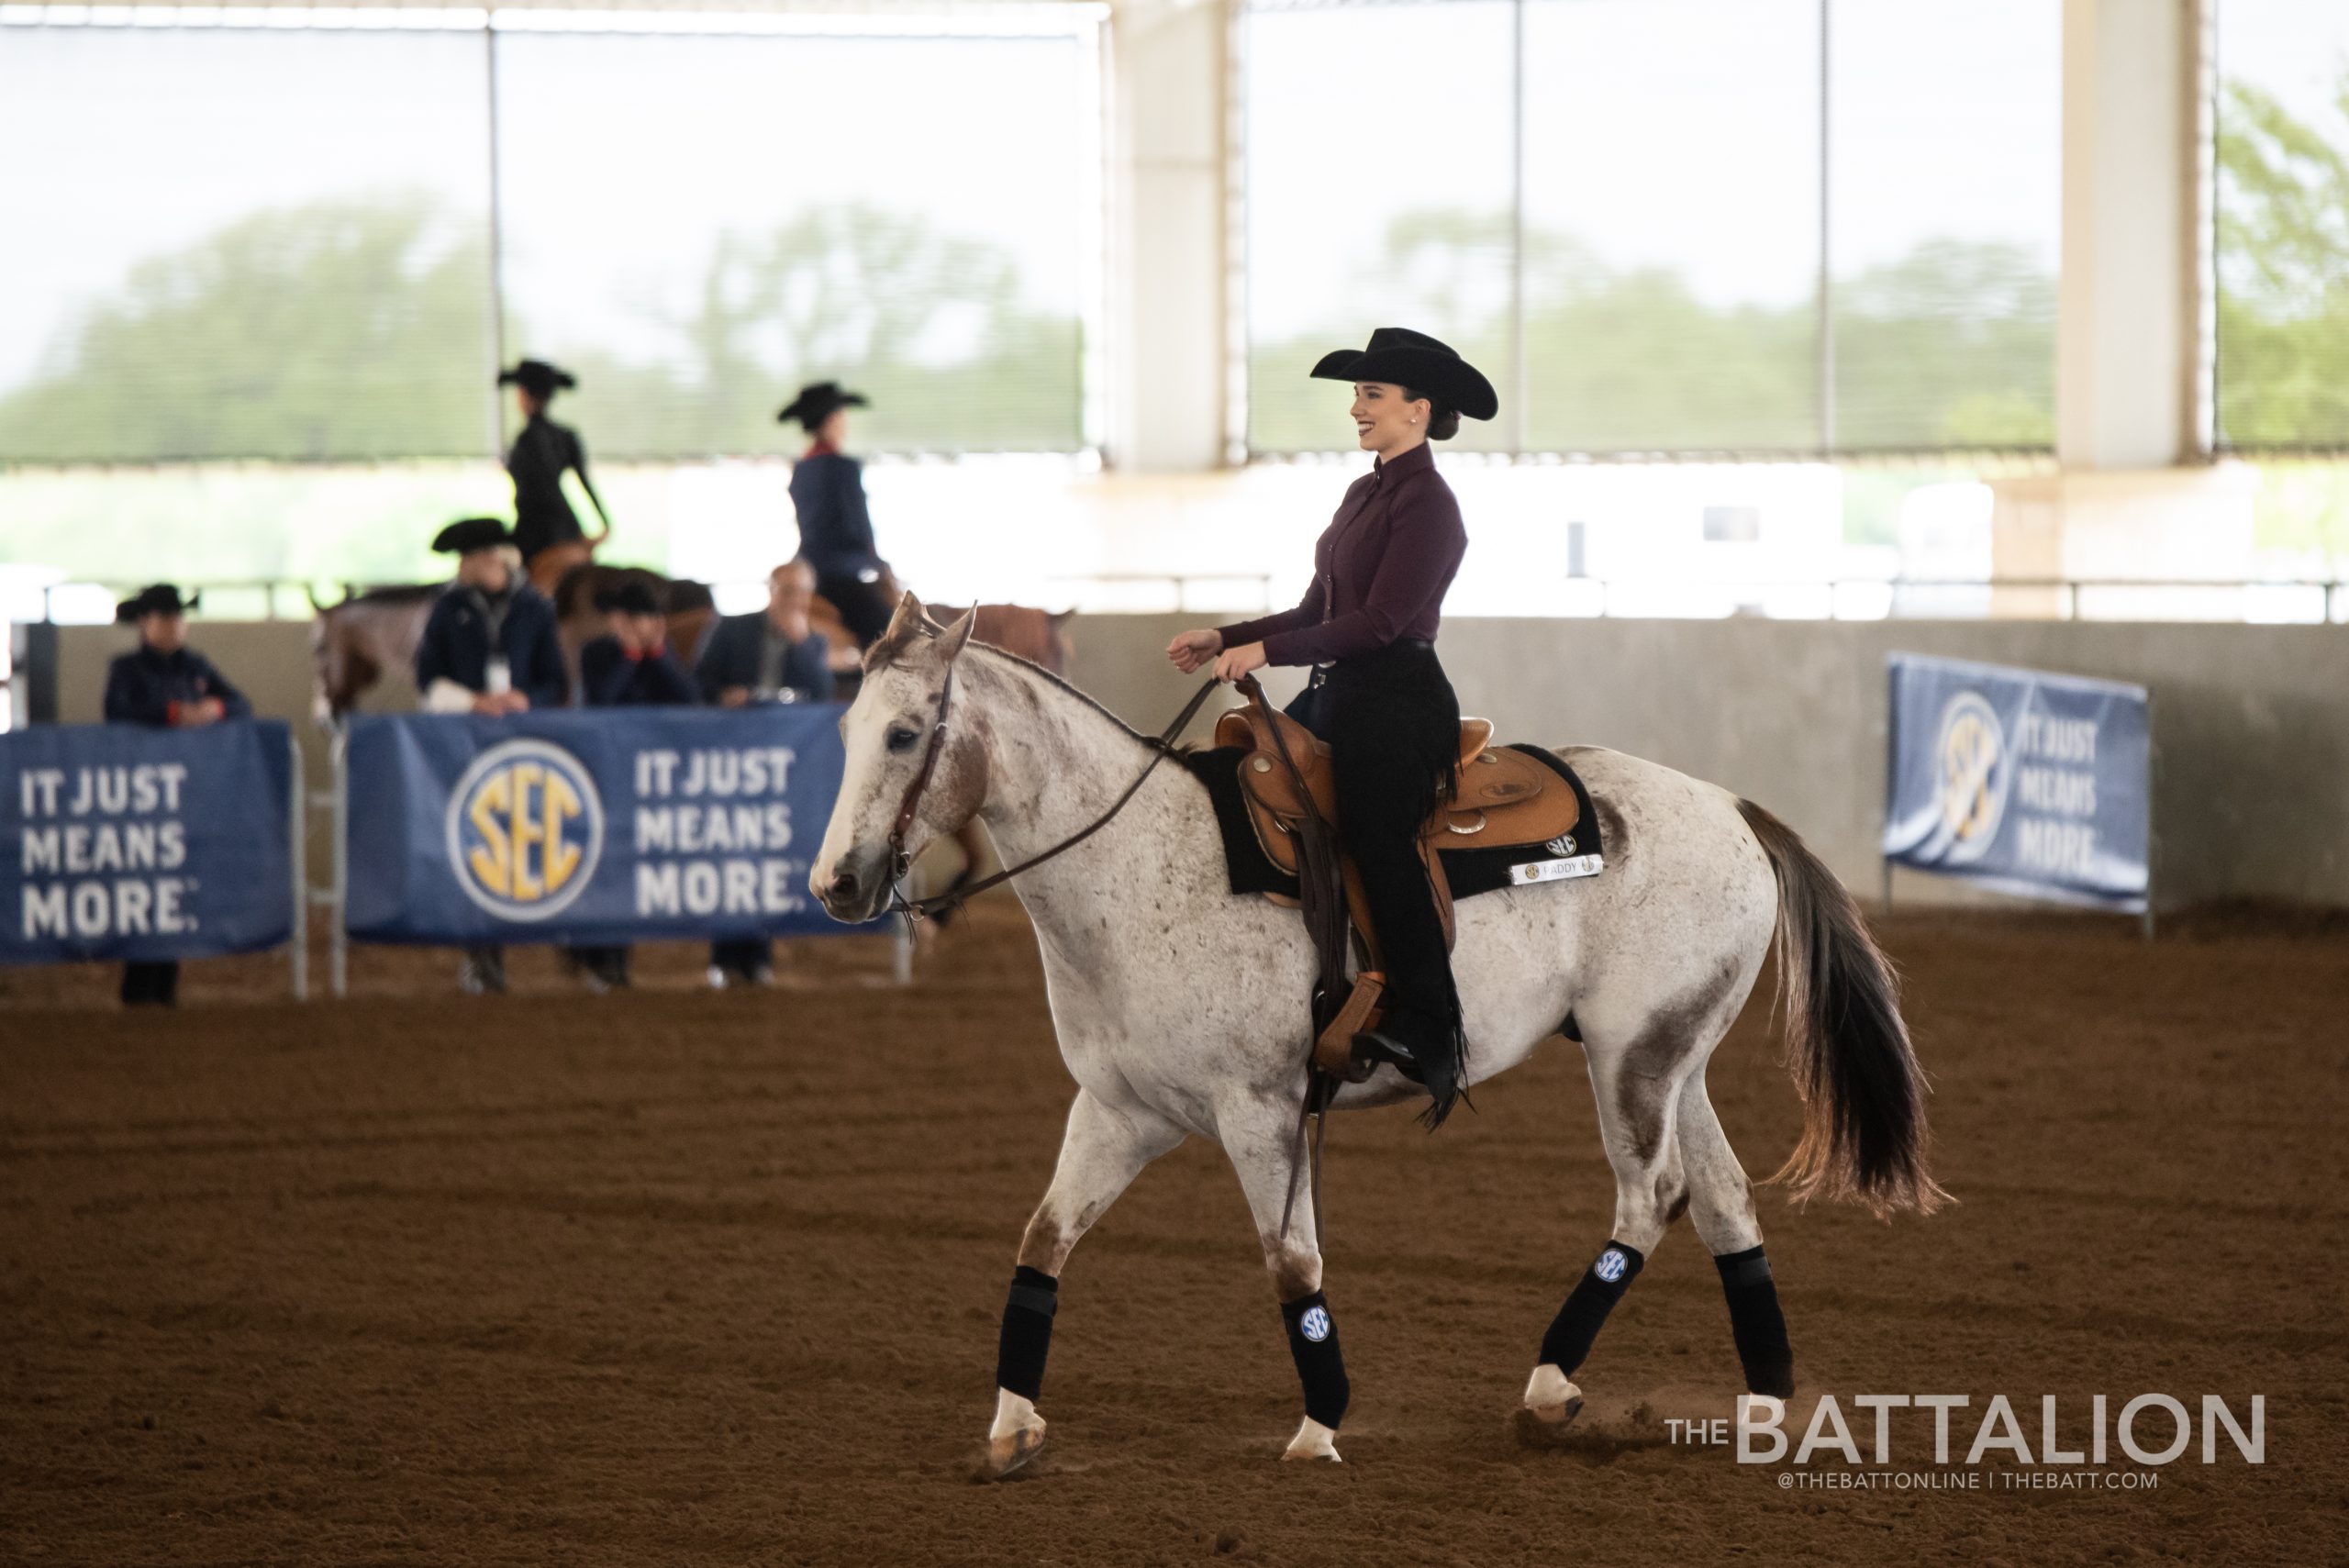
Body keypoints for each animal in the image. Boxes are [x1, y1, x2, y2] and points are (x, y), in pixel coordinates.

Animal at [807, 594, 1944, 1473]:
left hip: (1634, 1058)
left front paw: (1319, 1424)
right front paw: (1010, 1426)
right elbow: (1042, 1240)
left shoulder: (1260, 1111)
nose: (836, 885)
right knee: (1721, 1198)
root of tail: (1731, 806)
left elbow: (1292, 1264)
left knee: (1650, 1195)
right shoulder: (1120, 1109)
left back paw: (1548, 1384)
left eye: (904, 734)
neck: (1131, 866)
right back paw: (1763, 1403)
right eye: (845, 729)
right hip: (1676, 1055)